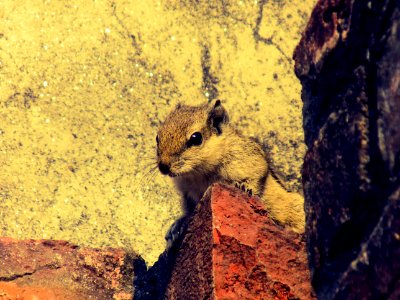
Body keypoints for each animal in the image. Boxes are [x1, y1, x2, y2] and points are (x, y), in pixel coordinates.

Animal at [155, 99, 304, 245]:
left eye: (196, 138)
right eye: (157, 137)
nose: (163, 166)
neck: (199, 173)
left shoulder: (253, 162)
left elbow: (256, 178)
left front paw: (244, 188)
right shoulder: (188, 194)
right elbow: (189, 211)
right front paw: (177, 226)